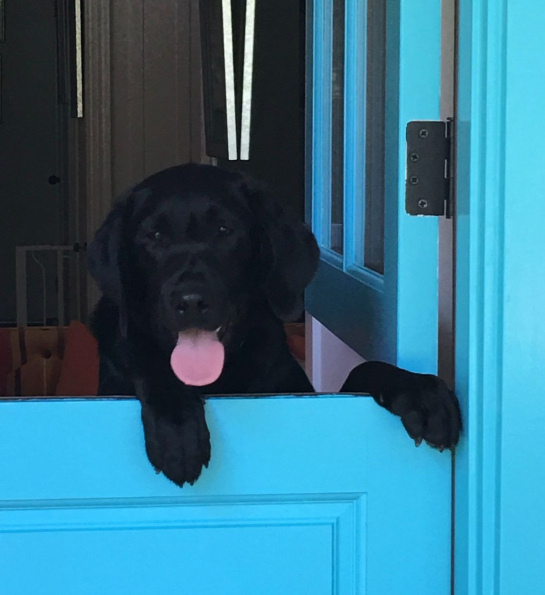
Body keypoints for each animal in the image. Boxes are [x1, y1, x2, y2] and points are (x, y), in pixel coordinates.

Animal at [88, 164, 460, 488]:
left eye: (224, 231)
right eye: (153, 236)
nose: (191, 301)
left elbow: (364, 370)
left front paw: (420, 392)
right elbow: (153, 365)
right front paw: (177, 429)